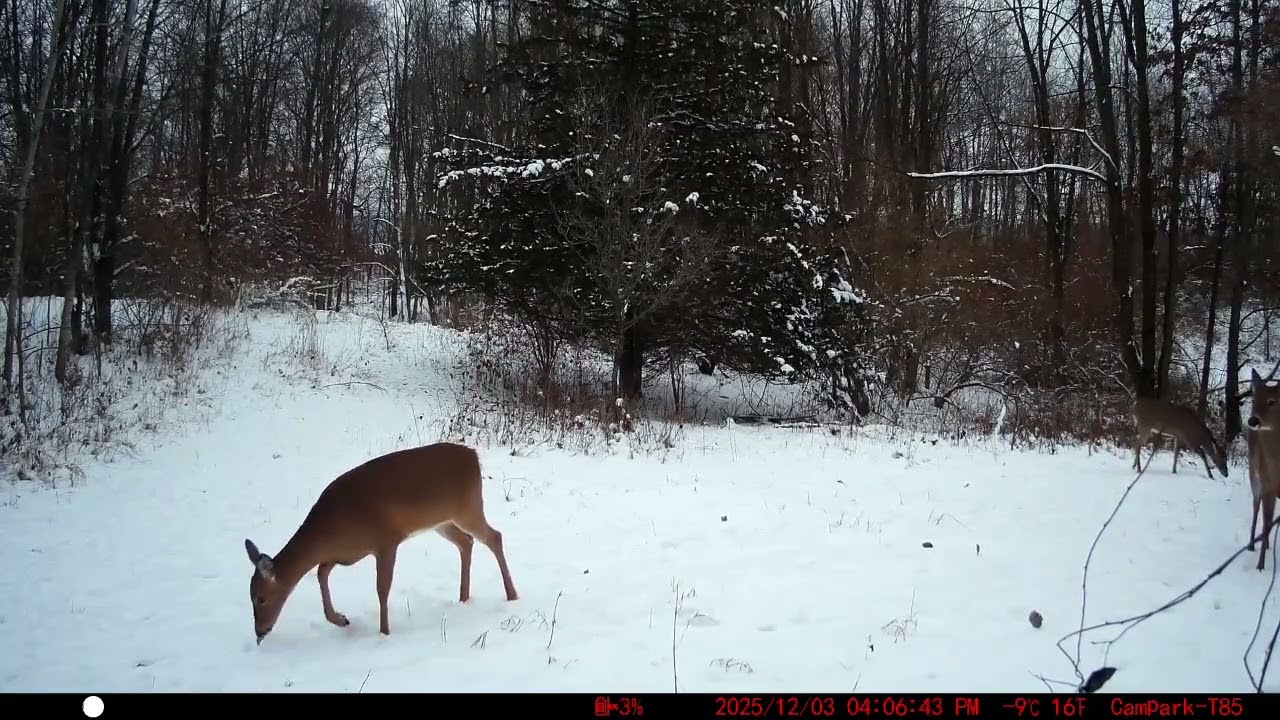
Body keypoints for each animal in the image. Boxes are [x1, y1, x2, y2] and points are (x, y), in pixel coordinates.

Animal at [242, 442, 519, 645]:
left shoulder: (386, 541)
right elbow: (321, 573)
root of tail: (473, 455)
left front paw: (384, 633)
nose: (259, 632)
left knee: (494, 537)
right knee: (466, 542)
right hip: (443, 521)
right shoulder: (342, 554)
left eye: (261, 598)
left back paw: (511, 595)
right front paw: (341, 619)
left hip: (468, 508)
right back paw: (463, 598)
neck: (330, 530)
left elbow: (382, 588)